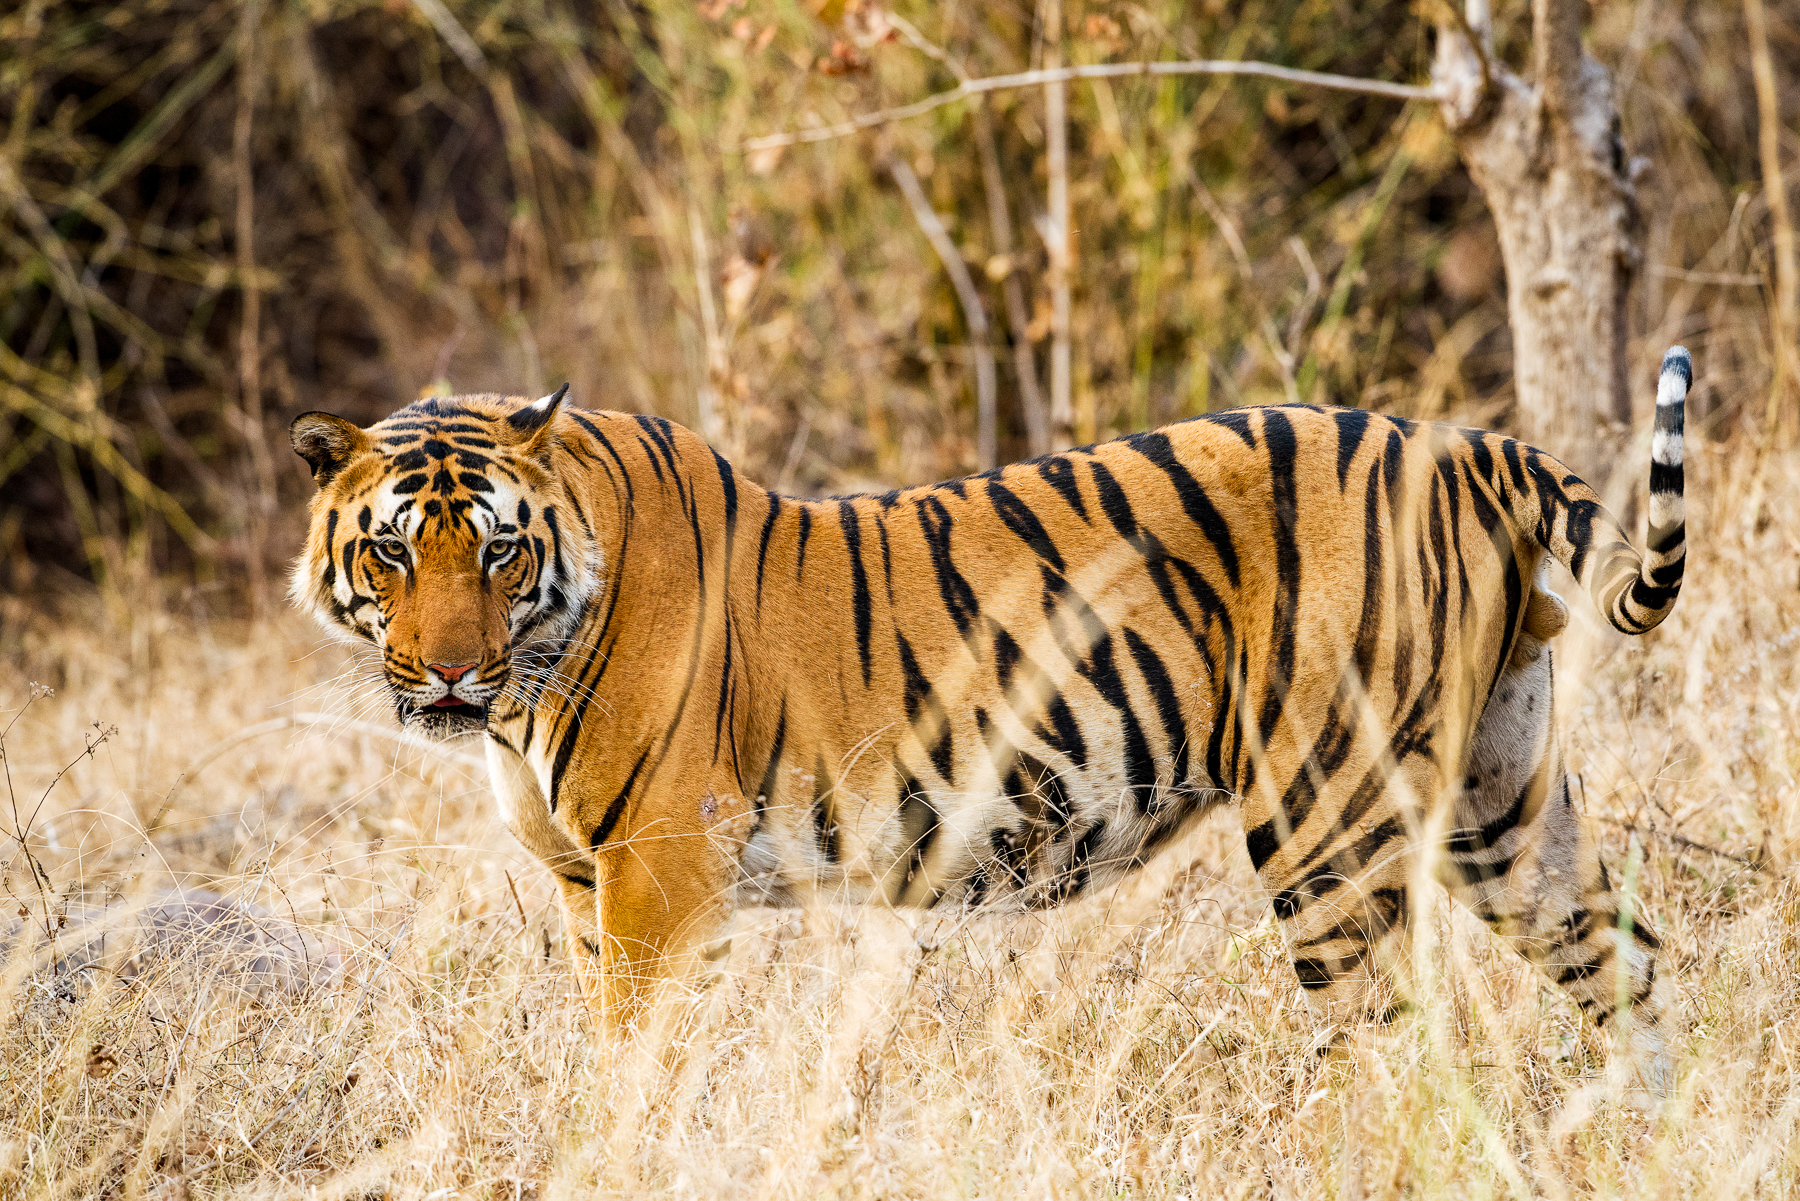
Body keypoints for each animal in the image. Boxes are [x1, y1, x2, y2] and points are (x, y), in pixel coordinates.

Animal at [289, 347, 1691, 1081]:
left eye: (499, 553)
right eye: (394, 555)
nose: (449, 677)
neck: (529, 680)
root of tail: (1462, 443)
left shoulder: (658, 876)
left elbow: (634, 1068)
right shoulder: (588, 885)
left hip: (1326, 820)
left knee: (1398, 1048)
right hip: (1503, 800)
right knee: (1628, 966)